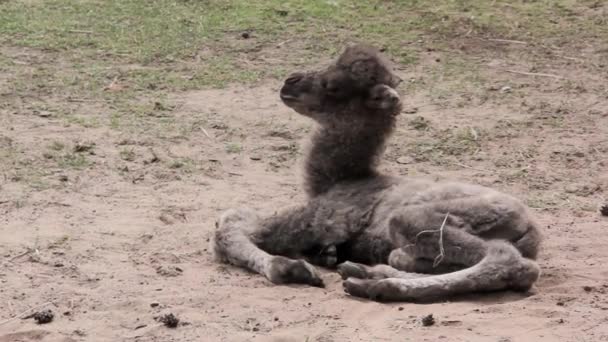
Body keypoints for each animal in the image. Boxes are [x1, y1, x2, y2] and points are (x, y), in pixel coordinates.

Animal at [213, 43, 540, 302]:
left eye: (334, 85)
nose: (289, 82)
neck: (339, 178)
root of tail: (531, 229)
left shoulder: (325, 217)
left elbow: (230, 224)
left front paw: (289, 267)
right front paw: (320, 257)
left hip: (416, 218)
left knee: (511, 262)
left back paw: (374, 285)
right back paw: (363, 271)